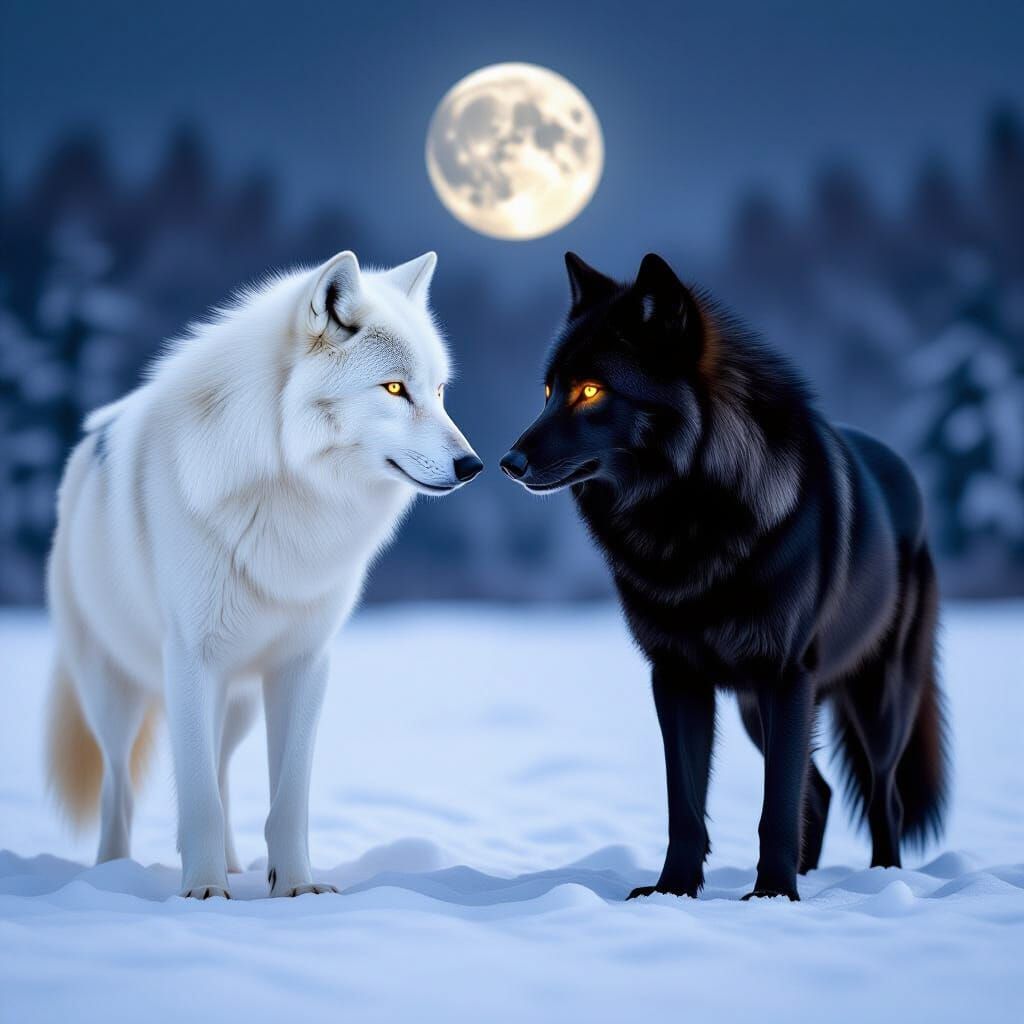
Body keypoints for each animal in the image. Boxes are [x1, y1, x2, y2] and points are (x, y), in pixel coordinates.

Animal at [46, 250, 483, 898]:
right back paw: (113, 872)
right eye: (394, 388)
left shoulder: (303, 664)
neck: (288, 488)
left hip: (239, 701)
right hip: (116, 691)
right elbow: (196, 798)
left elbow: (287, 799)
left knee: (222, 770)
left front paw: (296, 886)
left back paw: (231, 864)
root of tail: (89, 437)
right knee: (118, 788)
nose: (473, 464)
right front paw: (202, 892)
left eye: (438, 390)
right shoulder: (191, 659)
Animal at [501, 251, 948, 901]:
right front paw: (673, 890)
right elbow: (685, 805)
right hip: (754, 710)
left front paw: (773, 896)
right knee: (819, 790)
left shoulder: (786, 676)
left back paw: (880, 879)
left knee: (879, 794)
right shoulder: (677, 676)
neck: (687, 519)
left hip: (875, 703)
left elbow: (774, 807)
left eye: (590, 391)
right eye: (548, 391)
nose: (507, 463)